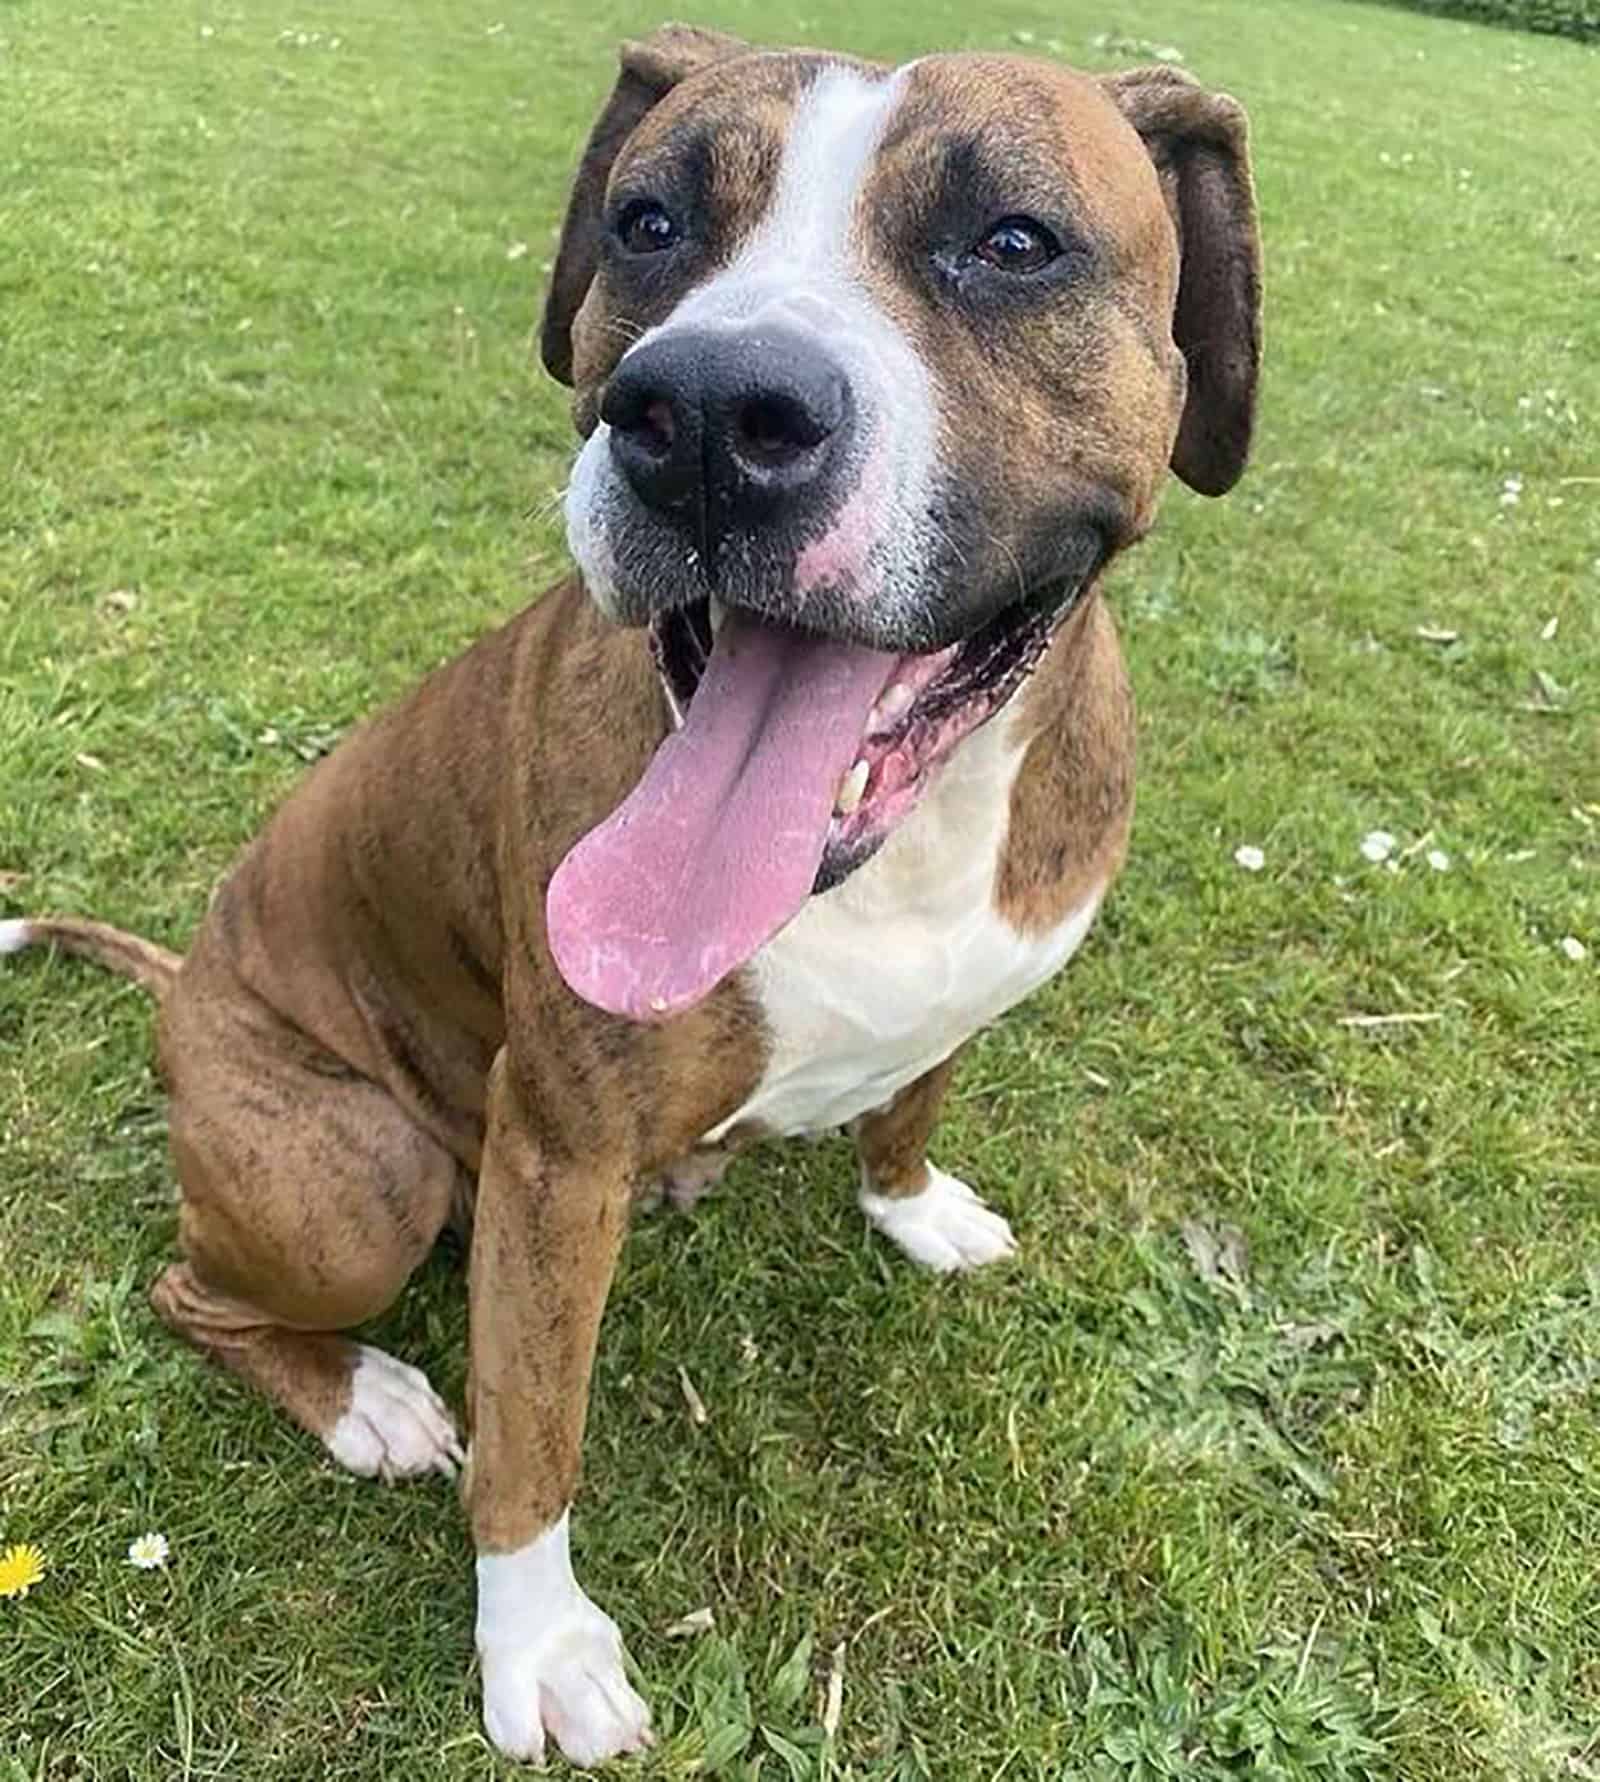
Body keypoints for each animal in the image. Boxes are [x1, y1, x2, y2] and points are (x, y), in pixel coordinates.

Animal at [9, 31, 1261, 1767]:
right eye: (648, 221)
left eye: (1015, 241)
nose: (710, 413)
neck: (903, 844)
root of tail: (184, 985)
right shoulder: (555, 1154)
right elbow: (535, 1431)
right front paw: (535, 1645)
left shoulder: (961, 995)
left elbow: (913, 1091)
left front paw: (910, 1202)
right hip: (358, 1177)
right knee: (194, 1287)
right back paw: (364, 1399)